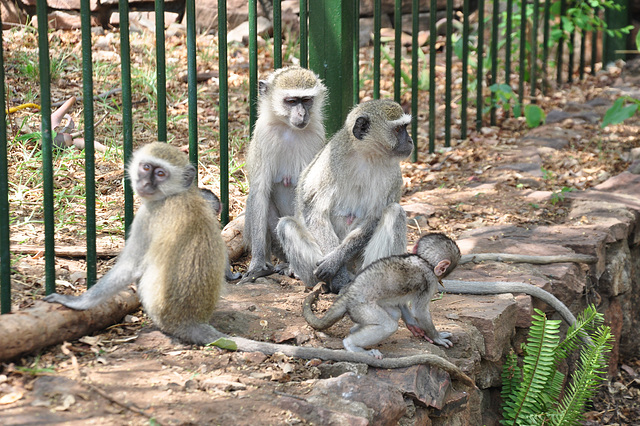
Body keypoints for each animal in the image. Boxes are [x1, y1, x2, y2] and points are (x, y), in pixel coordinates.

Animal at [242, 65, 328, 282]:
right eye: (291, 101)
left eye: (306, 100)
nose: (302, 114)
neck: (289, 128)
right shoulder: (263, 135)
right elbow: (259, 192)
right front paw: (257, 263)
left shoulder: (316, 136)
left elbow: (305, 192)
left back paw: (289, 265)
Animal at [278, 99, 412, 292]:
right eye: (398, 129)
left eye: (405, 128)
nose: (410, 140)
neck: (367, 155)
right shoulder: (331, 158)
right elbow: (315, 210)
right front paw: (337, 274)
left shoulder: (394, 175)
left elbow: (374, 218)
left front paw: (334, 261)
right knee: (286, 225)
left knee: (395, 212)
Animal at [304, 231, 460, 358]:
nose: (442, 280)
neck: (424, 260)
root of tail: (350, 293)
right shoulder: (430, 280)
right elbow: (420, 311)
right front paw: (436, 336)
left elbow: (402, 303)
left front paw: (414, 326)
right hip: (360, 306)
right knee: (388, 326)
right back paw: (351, 345)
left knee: (394, 313)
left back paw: (354, 330)